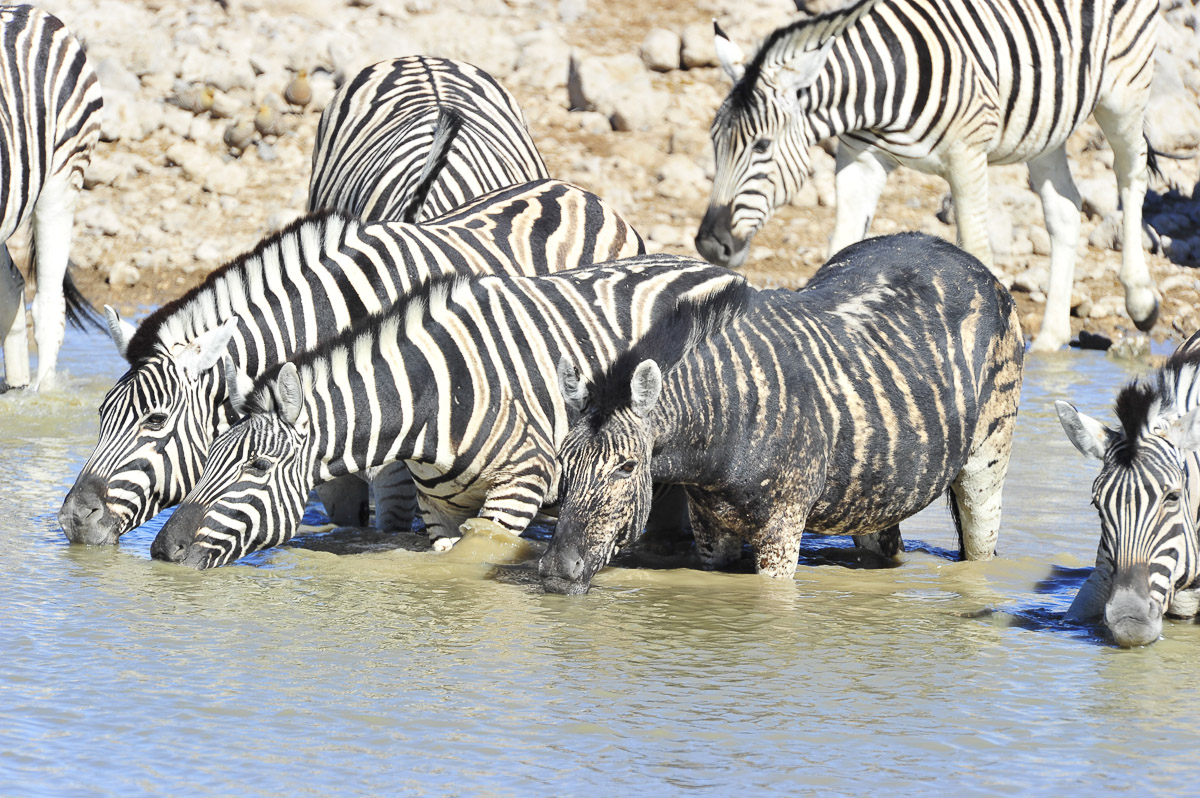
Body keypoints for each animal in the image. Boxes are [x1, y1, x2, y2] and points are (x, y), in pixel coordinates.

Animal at [148, 257, 742, 569]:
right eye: (207, 457)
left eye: (257, 468)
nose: (162, 549)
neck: (434, 400)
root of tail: (715, 269)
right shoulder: (439, 508)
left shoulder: (520, 488)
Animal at [540, 233, 1024, 595]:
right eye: (564, 462)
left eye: (626, 466)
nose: (556, 573)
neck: (725, 416)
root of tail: (956, 251)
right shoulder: (710, 529)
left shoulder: (784, 529)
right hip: (879, 490)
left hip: (987, 464)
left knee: (981, 545)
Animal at [696, 0, 1161, 353]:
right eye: (714, 141)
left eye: (761, 147)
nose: (710, 244)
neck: (876, 92)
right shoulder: (860, 160)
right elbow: (841, 243)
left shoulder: (967, 155)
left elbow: (976, 248)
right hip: (1047, 124)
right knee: (1065, 208)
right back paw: (1050, 338)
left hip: (1125, 91)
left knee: (1131, 175)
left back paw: (1140, 298)